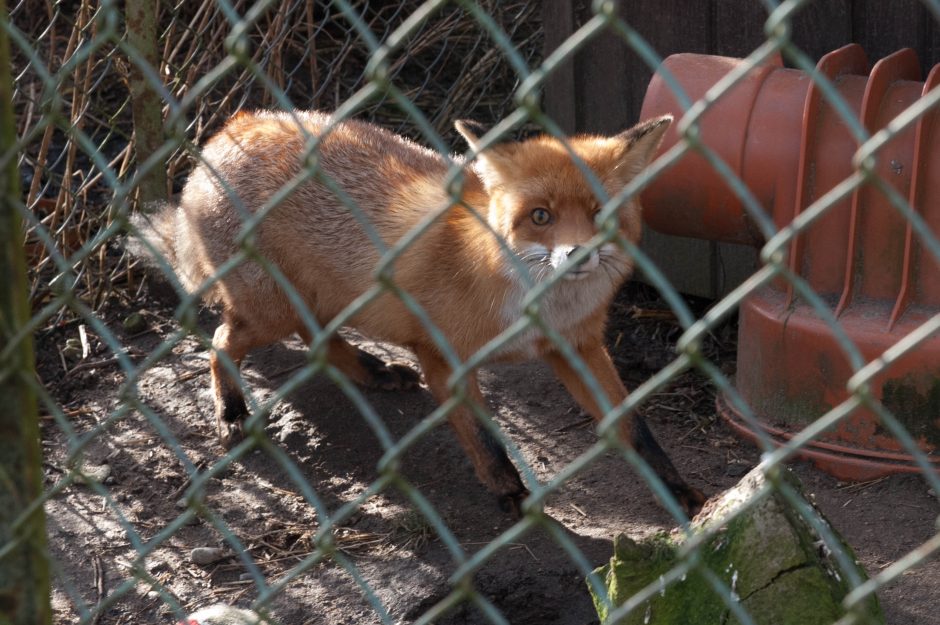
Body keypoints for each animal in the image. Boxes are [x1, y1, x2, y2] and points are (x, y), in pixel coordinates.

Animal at [132, 108, 704, 516]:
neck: (535, 306)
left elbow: (633, 426)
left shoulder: (577, 347)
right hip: (271, 311)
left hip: (322, 300)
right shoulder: (443, 359)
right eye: (540, 217)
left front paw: (677, 489)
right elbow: (483, 439)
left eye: (599, 214)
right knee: (221, 341)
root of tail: (231, 126)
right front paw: (511, 494)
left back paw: (370, 371)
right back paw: (232, 410)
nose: (578, 255)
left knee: (316, 339)